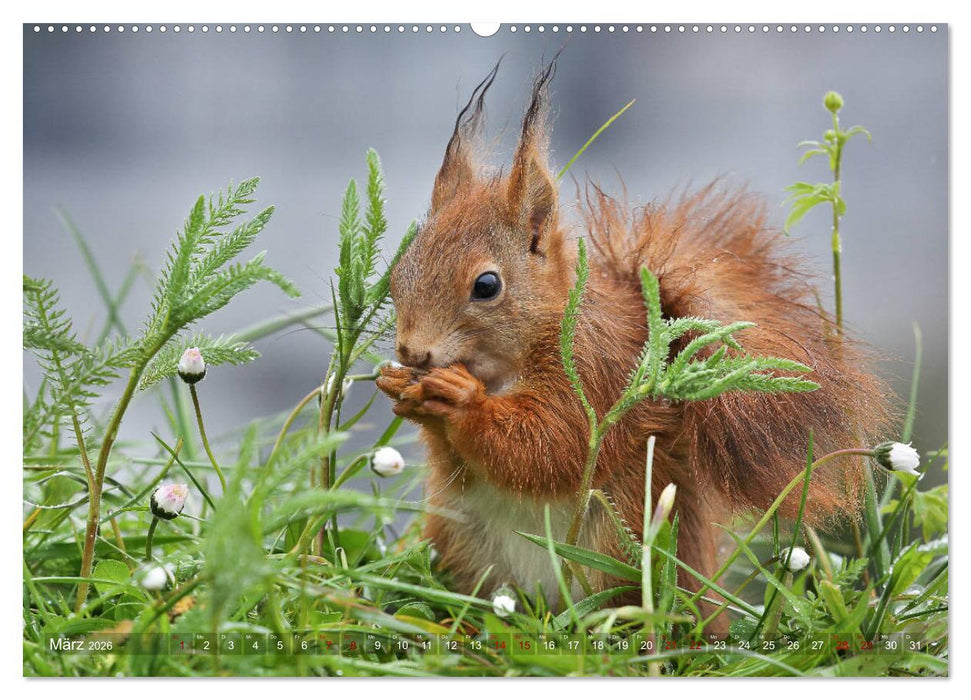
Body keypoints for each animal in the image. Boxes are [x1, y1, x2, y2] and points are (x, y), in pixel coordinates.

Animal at [375, 59, 893, 629]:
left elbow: (553, 445)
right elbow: (461, 462)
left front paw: (461, 401)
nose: (412, 353)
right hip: (459, 544)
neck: (504, 365)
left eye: (486, 286)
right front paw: (400, 389)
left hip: (629, 560)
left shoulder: (595, 371)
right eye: (400, 271)